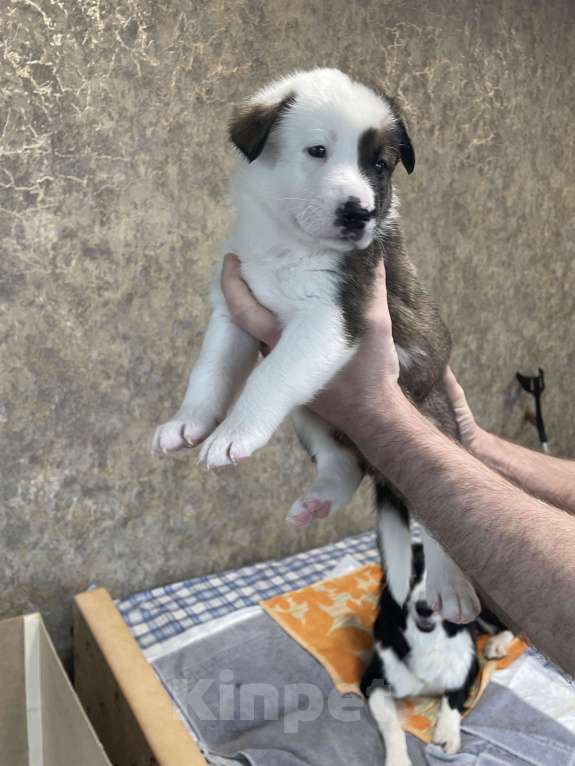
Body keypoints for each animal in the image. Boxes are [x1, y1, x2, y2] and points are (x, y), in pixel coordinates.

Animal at [154, 69, 482, 624]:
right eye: (317, 150)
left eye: (380, 164)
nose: (359, 213)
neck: (286, 243)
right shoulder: (232, 308)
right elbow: (209, 370)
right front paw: (188, 422)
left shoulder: (329, 318)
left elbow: (268, 377)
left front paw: (232, 433)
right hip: (312, 415)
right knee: (342, 463)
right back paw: (320, 501)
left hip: (434, 421)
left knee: (441, 521)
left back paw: (450, 583)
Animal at [362, 544, 516, 766]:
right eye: (411, 573)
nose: (425, 608)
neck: (427, 637)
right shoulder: (372, 679)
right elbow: (392, 725)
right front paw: (398, 759)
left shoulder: (468, 668)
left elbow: (454, 697)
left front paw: (447, 734)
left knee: (507, 625)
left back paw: (495, 644)